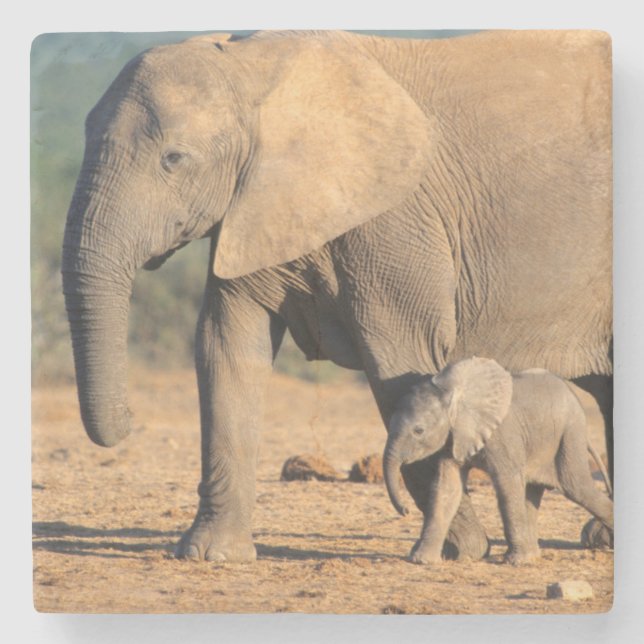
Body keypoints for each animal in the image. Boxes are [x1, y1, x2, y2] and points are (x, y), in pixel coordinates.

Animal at [383, 357, 614, 565]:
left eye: (418, 431)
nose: (405, 511)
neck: (452, 390)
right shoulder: (453, 438)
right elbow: (447, 488)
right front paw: (421, 560)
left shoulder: (502, 434)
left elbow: (506, 484)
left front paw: (516, 562)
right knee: (532, 491)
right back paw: (533, 556)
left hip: (570, 431)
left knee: (576, 487)